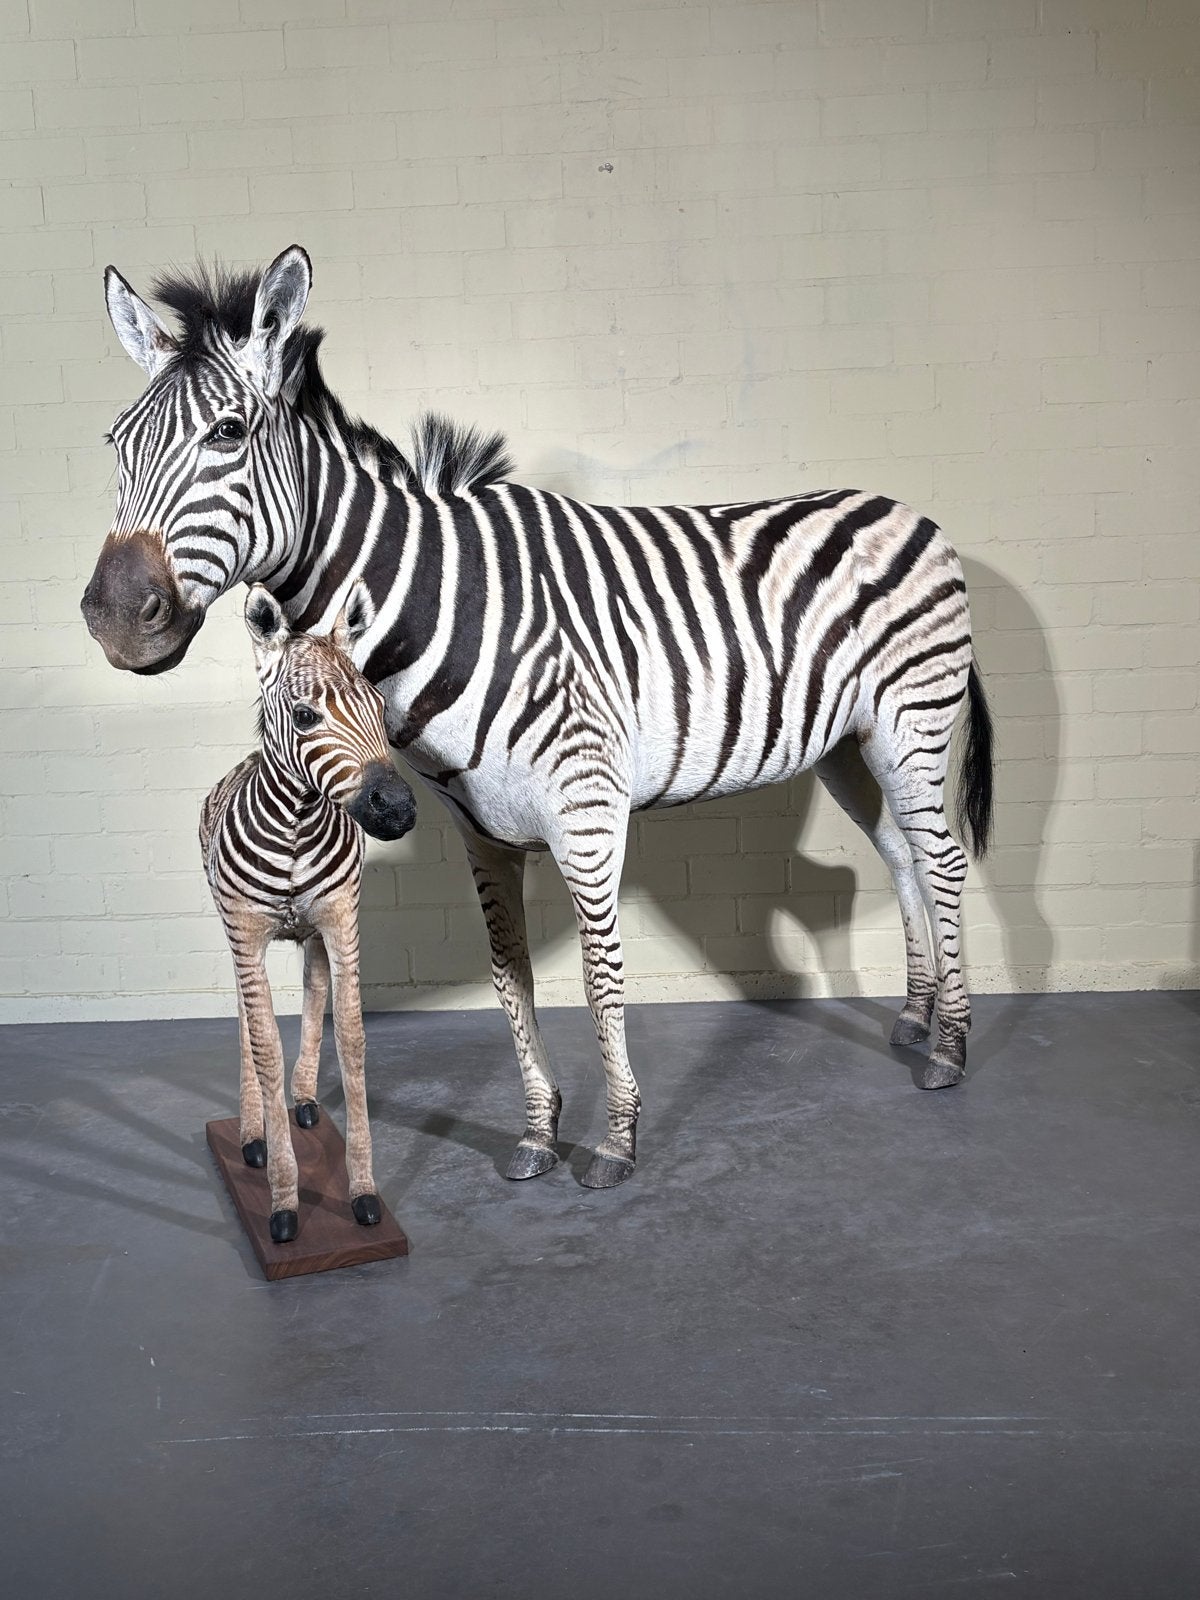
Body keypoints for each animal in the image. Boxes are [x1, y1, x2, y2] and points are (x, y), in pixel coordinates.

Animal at [201, 580, 416, 1242]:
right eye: (304, 716)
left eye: (381, 706)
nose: (398, 809)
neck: (296, 826)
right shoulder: (247, 938)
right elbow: (265, 1042)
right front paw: (283, 1198)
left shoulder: (342, 921)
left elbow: (350, 1034)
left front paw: (364, 1190)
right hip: (235, 934)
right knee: (245, 1021)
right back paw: (252, 1133)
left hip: (315, 932)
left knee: (316, 986)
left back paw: (301, 1101)